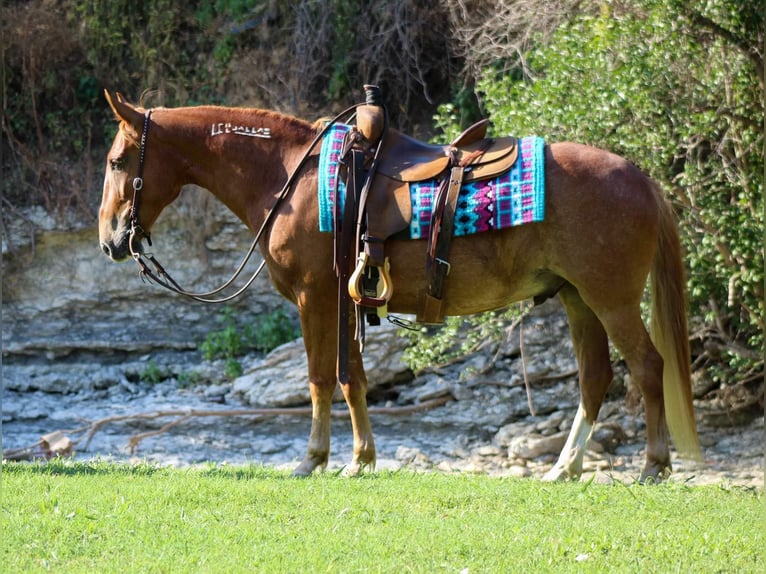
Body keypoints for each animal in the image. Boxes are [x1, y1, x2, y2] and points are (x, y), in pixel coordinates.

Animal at [99, 92, 704, 484]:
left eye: (117, 160)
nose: (109, 240)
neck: (292, 178)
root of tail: (642, 177)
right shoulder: (345, 301)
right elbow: (355, 382)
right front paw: (361, 458)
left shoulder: (315, 298)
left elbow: (321, 379)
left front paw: (313, 459)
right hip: (578, 299)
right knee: (595, 378)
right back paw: (564, 467)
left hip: (612, 299)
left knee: (647, 366)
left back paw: (653, 467)